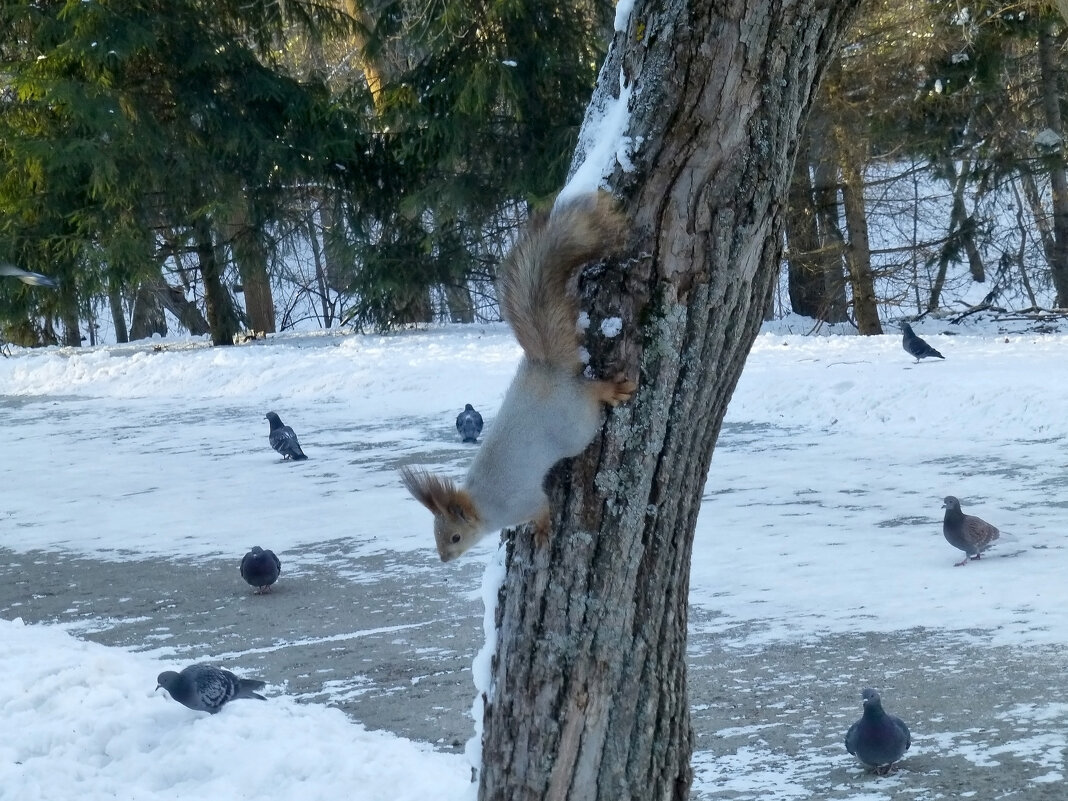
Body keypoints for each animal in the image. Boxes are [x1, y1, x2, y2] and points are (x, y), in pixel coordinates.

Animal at [401, 190, 632, 559]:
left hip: (576, 426)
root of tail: (547, 370)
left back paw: (610, 391)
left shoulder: (520, 503)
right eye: (435, 534)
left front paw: (541, 531)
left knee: (590, 395)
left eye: (455, 537)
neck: (483, 506)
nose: (444, 559)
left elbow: (541, 509)